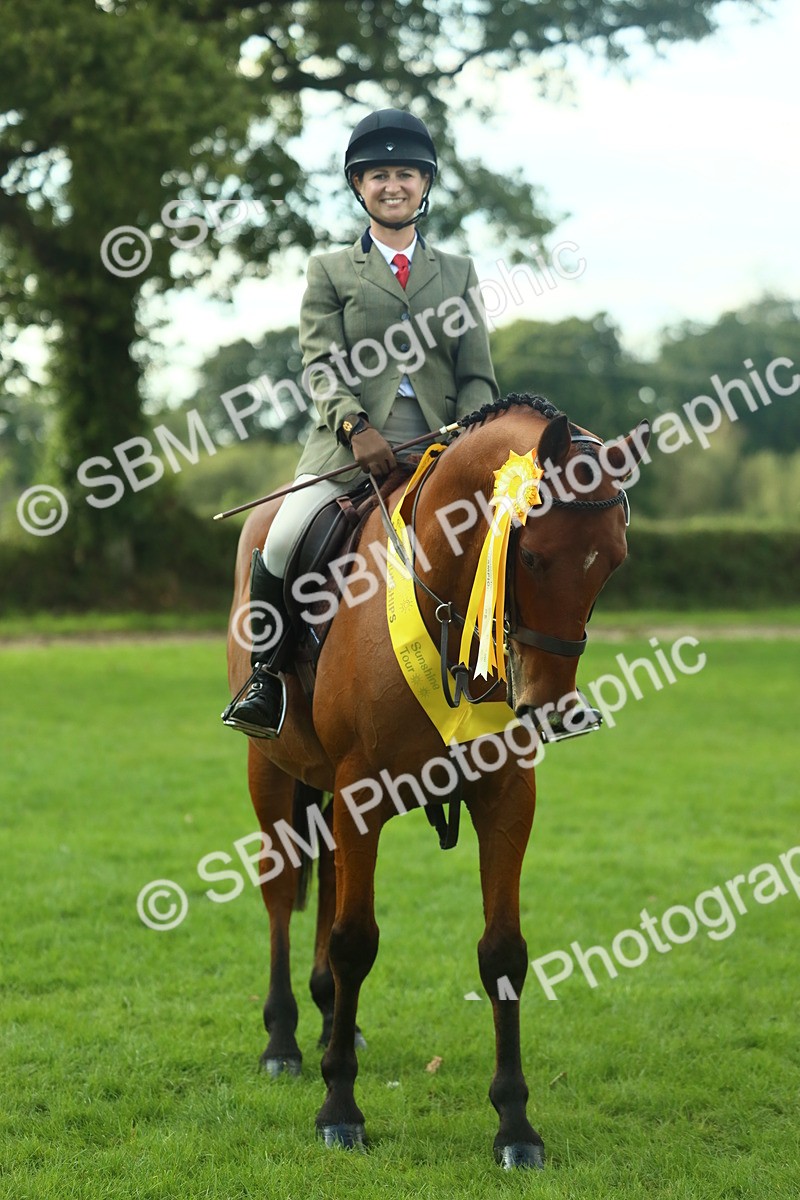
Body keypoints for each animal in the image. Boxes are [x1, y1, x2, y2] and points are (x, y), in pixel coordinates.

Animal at [225, 395, 650, 1168]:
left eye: (612, 563)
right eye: (531, 555)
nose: (549, 707)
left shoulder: (507, 797)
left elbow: (502, 952)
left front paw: (515, 1125)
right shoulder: (360, 792)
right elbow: (355, 941)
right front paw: (340, 1109)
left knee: (326, 888)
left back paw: (334, 1020)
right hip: (271, 771)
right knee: (281, 893)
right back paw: (285, 1041)